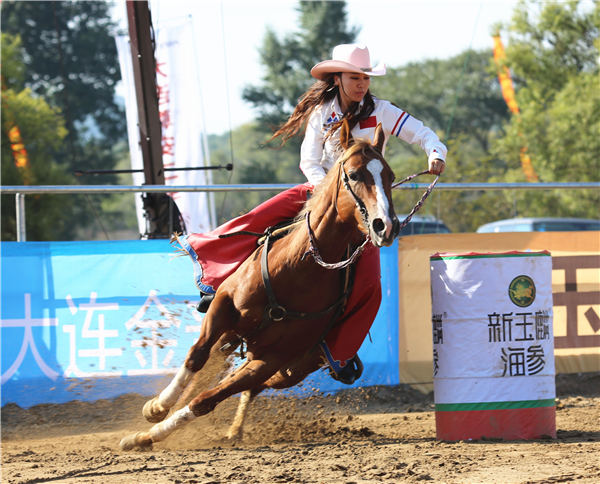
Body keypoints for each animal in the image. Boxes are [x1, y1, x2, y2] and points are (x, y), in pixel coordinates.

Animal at [118, 121, 398, 450]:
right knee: (211, 367)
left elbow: (206, 400)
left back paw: (234, 430)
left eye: (390, 176)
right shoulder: (223, 305)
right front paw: (157, 407)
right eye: (354, 174)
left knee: (249, 387)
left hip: (291, 369)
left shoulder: (270, 360)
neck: (298, 271)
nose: (386, 226)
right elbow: (196, 356)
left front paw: (144, 436)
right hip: (236, 336)